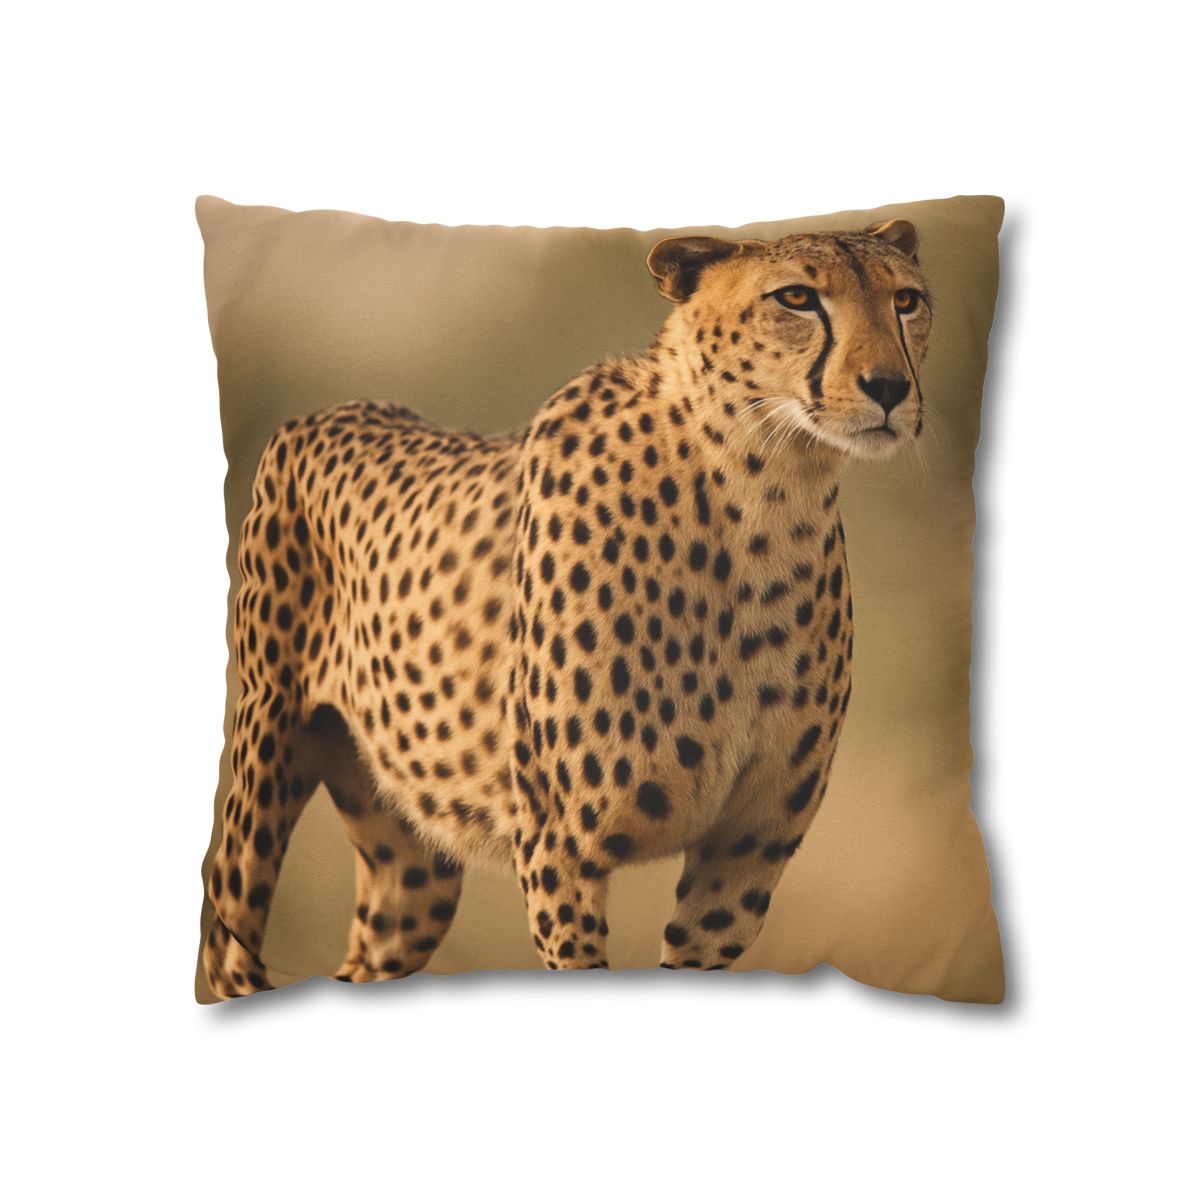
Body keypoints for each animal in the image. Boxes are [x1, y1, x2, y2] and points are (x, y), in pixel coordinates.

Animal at [202, 218, 932, 997]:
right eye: (796, 298)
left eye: (906, 300)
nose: (890, 387)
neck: (763, 496)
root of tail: (332, 409)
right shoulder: (561, 846)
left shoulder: (745, 852)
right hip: (265, 756)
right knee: (228, 945)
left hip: (413, 867)